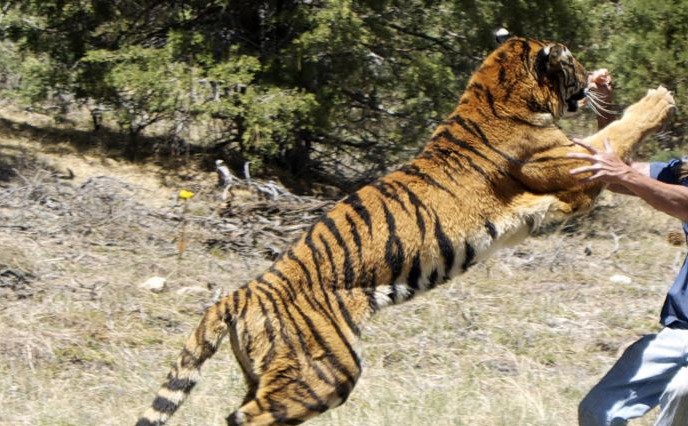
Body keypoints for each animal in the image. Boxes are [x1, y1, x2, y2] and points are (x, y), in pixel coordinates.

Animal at [136, 34, 675, 426]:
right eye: (574, 64)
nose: (594, 75)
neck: (494, 91)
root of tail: (242, 293)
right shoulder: (578, 170)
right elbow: (617, 134)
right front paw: (659, 99)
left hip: (273, 372)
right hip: (325, 371)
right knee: (245, 418)